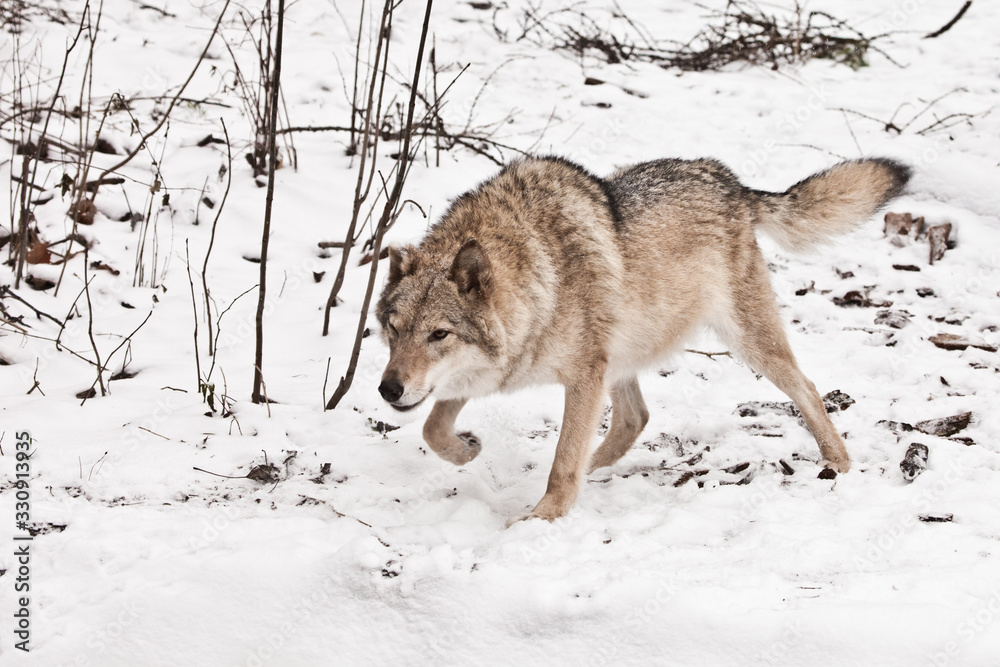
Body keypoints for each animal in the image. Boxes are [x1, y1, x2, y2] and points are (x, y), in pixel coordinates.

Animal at [375, 155, 910, 524]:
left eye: (439, 334)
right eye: (394, 329)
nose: (388, 389)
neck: (539, 273)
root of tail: (731, 181)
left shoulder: (584, 376)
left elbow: (561, 462)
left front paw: (544, 516)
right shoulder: (495, 372)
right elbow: (432, 429)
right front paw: (467, 450)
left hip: (748, 344)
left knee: (808, 387)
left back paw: (838, 462)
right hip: (624, 354)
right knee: (636, 418)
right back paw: (594, 467)